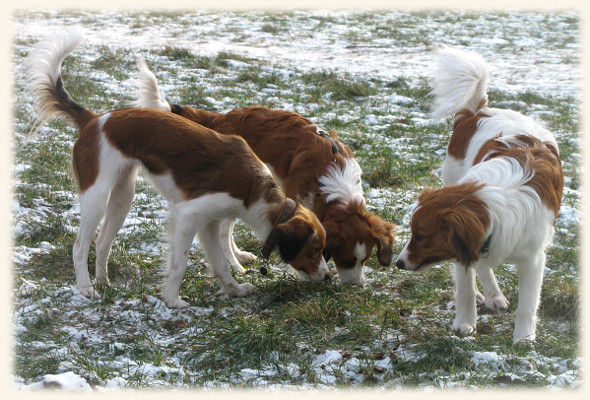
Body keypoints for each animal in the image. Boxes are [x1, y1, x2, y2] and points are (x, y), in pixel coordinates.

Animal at [26, 28, 332, 310]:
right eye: (316, 249)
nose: (329, 277)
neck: (254, 188)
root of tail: (94, 119)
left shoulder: (210, 223)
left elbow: (220, 262)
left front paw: (234, 289)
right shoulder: (189, 216)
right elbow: (180, 263)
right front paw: (173, 301)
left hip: (123, 196)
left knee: (102, 242)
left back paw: (105, 282)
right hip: (97, 194)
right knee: (80, 246)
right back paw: (86, 288)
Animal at [134, 60, 398, 284]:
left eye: (365, 260)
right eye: (346, 260)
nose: (356, 285)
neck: (334, 178)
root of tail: (221, 118)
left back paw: (239, 256)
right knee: (224, 231)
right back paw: (235, 263)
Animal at [396, 48, 568, 346]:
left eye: (421, 236)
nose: (399, 262)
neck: (494, 202)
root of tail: (478, 111)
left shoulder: (533, 257)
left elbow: (528, 303)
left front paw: (523, 339)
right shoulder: (464, 245)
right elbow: (465, 287)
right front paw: (464, 325)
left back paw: (494, 296)